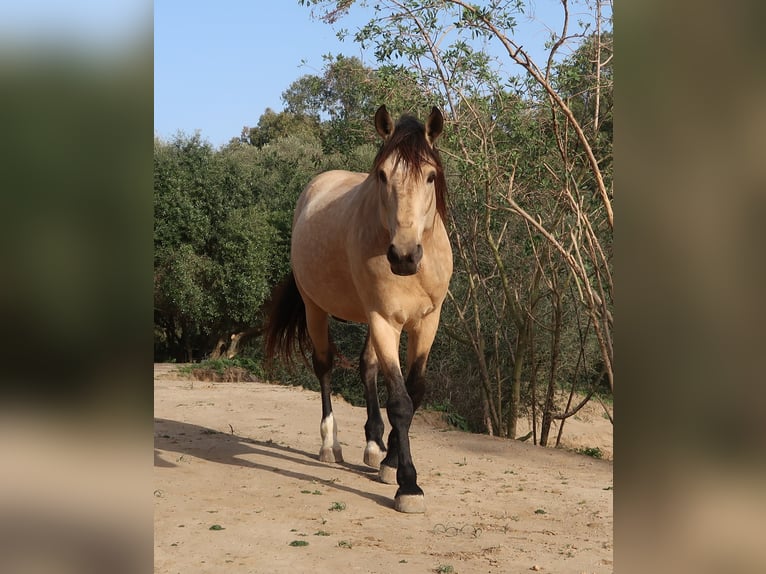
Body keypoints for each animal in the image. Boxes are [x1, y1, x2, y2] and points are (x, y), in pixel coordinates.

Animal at [266, 106, 452, 516]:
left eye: (430, 175)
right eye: (382, 175)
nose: (403, 255)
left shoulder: (426, 323)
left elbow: (413, 392)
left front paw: (390, 461)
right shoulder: (385, 321)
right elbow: (399, 401)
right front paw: (408, 484)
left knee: (367, 367)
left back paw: (374, 446)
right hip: (315, 309)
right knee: (324, 367)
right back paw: (330, 444)